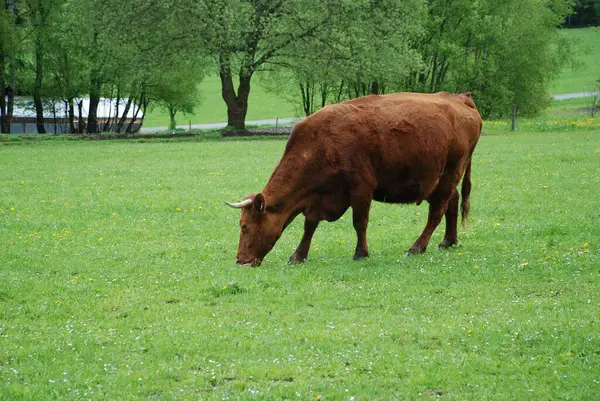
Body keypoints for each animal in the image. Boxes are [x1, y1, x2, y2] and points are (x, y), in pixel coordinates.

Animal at [225, 90, 482, 266]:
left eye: (245, 227)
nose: (240, 260)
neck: (321, 143)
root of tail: (460, 98)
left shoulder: (361, 189)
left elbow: (359, 222)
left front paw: (361, 253)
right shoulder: (318, 197)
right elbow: (310, 225)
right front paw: (298, 255)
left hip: (449, 175)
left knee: (437, 212)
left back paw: (417, 246)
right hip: (443, 180)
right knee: (453, 203)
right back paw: (448, 241)